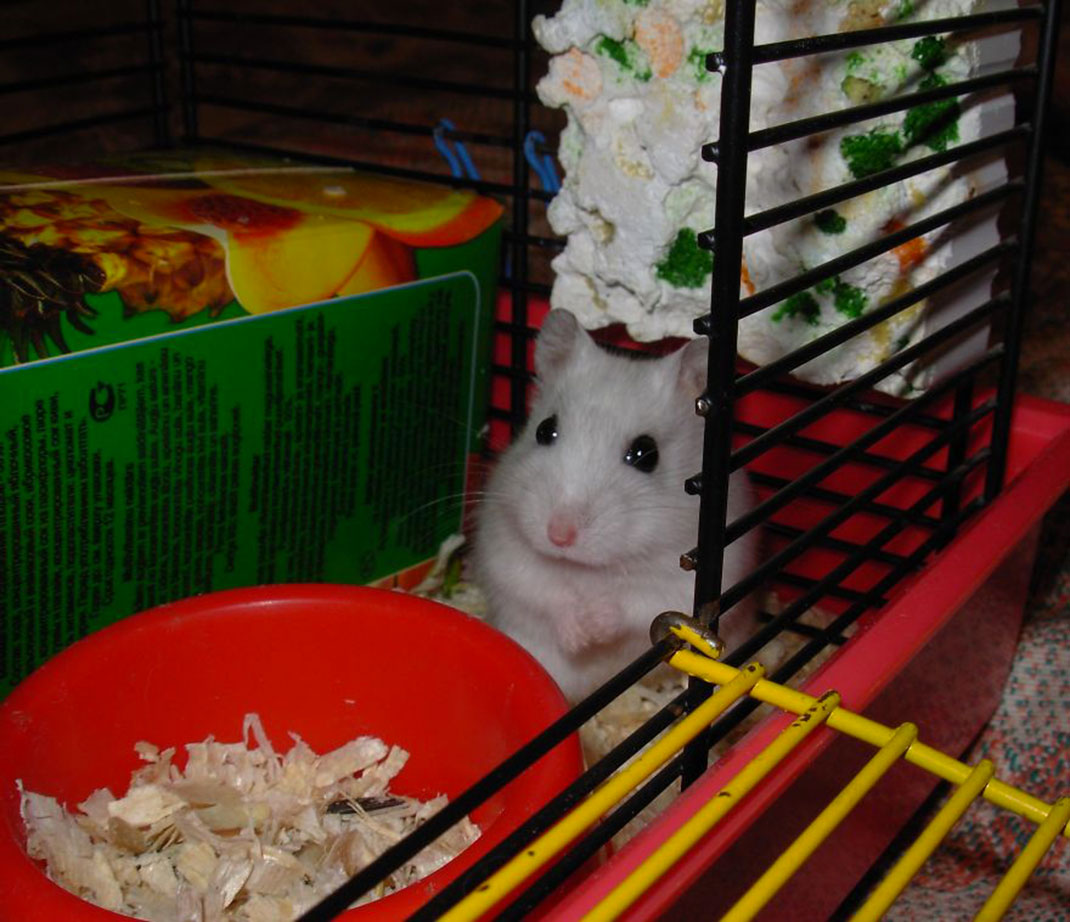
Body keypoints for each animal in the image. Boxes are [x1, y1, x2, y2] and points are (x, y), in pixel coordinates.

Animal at [472, 308, 757, 702]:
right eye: (544, 430)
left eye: (646, 454)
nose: (559, 536)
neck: (589, 571)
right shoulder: (507, 552)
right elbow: (543, 591)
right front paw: (579, 637)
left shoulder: (683, 583)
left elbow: (635, 606)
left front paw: (596, 626)